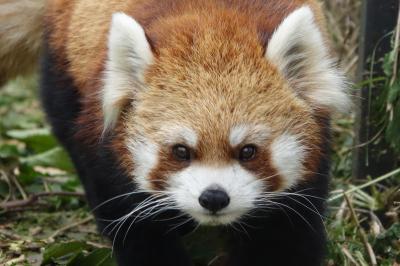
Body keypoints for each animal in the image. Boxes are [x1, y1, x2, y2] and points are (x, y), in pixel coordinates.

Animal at [1, 0, 348, 266]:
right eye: (181, 151)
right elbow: (135, 224)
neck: (213, 26)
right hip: (65, 69)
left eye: (248, 151)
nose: (213, 197)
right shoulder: (106, 147)